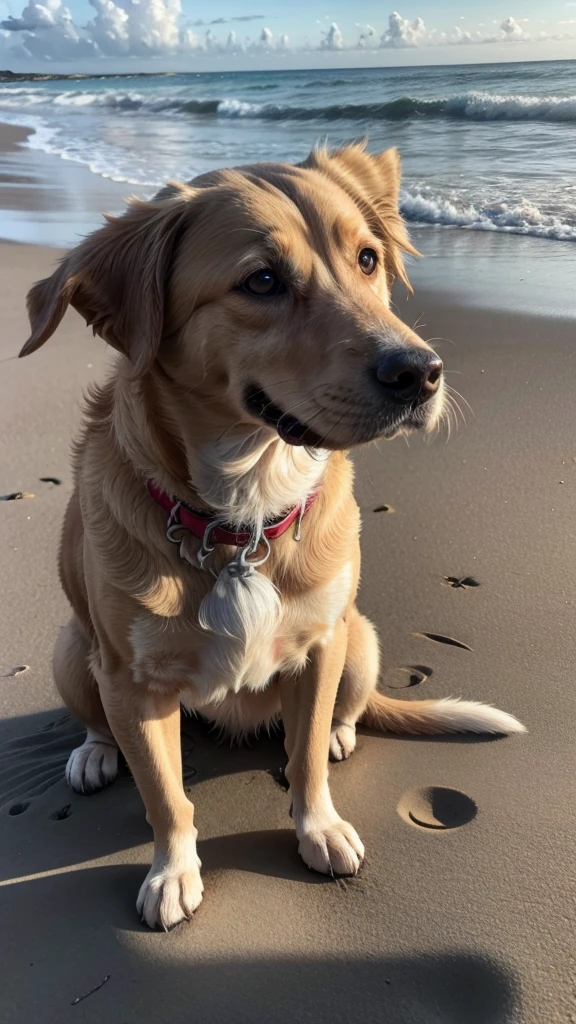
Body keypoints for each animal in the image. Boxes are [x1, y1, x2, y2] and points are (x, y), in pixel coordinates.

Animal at [21, 140, 524, 933]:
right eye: (261, 281)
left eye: (368, 258)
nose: (421, 372)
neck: (243, 518)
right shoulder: (131, 682)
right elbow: (166, 795)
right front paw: (172, 870)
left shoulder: (320, 648)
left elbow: (307, 757)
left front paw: (318, 825)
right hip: (74, 651)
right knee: (102, 726)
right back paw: (95, 754)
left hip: (360, 638)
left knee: (335, 718)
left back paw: (344, 731)